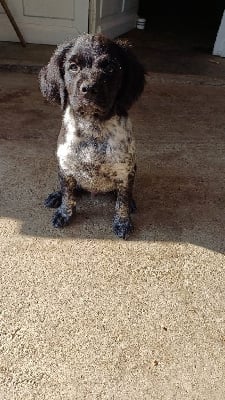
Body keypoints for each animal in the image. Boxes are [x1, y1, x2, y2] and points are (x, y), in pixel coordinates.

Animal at [38, 33, 145, 238]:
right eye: (73, 67)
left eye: (110, 68)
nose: (89, 88)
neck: (93, 126)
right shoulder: (66, 167)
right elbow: (68, 195)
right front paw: (64, 213)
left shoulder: (125, 171)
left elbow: (122, 201)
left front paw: (123, 222)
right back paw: (56, 196)